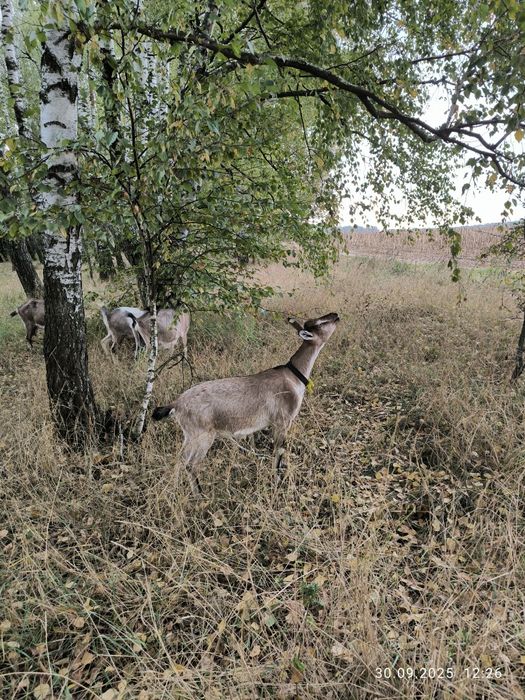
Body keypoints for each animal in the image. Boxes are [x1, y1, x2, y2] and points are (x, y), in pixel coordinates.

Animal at [152, 312, 340, 495]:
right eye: (321, 323)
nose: (336, 315)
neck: (293, 377)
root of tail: (176, 404)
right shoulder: (282, 421)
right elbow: (278, 452)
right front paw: (277, 482)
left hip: (189, 436)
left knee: (180, 459)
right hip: (202, 436)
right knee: (191, 464)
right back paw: (199, 494)